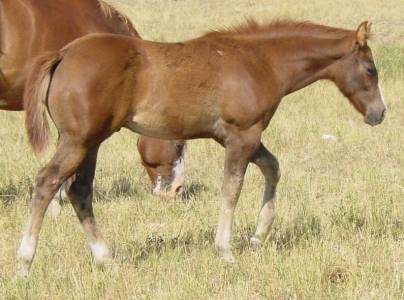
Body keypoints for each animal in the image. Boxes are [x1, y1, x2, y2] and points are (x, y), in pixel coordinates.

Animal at [18, 19, 386, 276]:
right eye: (371, 69)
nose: (379, 113)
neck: (260, 61)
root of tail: (63, 54)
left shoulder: (241, 137)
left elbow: (272, 167)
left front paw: (258, 236)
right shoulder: (242, 136)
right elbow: (232, 189)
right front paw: (226, 251)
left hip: (90, 142)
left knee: (79, 190)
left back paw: (106, 260)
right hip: (78, 140)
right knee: (47, 182)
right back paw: (24, 264)